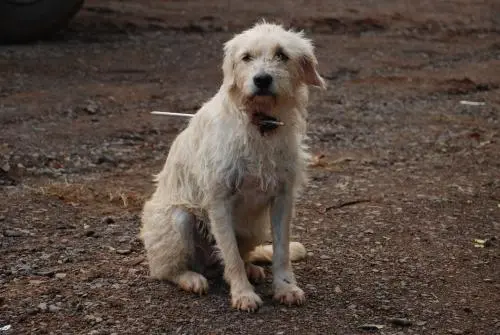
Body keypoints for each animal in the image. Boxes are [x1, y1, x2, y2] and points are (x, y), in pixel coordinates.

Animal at [140, 23, 324, 312]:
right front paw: (243, 294)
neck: (259, 124)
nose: (262, 80)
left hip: (253, 227)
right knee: (166, 270)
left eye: (281, 55)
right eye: (246, 57)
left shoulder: (283, 197)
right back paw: (191, 278)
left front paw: (285, 287)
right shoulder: (219, 200)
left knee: (240, 256)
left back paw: (251, 269)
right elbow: (231, 255)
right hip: (179, 220)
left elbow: (281, 250)